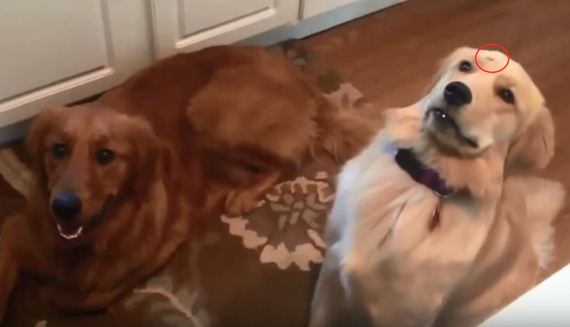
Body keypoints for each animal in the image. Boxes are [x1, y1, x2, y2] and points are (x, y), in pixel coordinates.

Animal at [1, 44, 372, 320]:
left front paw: (52, 292)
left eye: (105, 155)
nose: (63, 207)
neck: (88, 242)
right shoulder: (14, 231)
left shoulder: (164, 242)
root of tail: (299, 75)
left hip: (210, 114)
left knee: (289, 162)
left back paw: (244, 193)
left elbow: (82, 296)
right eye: (57, 149)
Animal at [306, 46, 564, 327]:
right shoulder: (331, 271)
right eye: (465, 66)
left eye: (507, 95)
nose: (456, 91)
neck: (421, 177)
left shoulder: (400, 313)